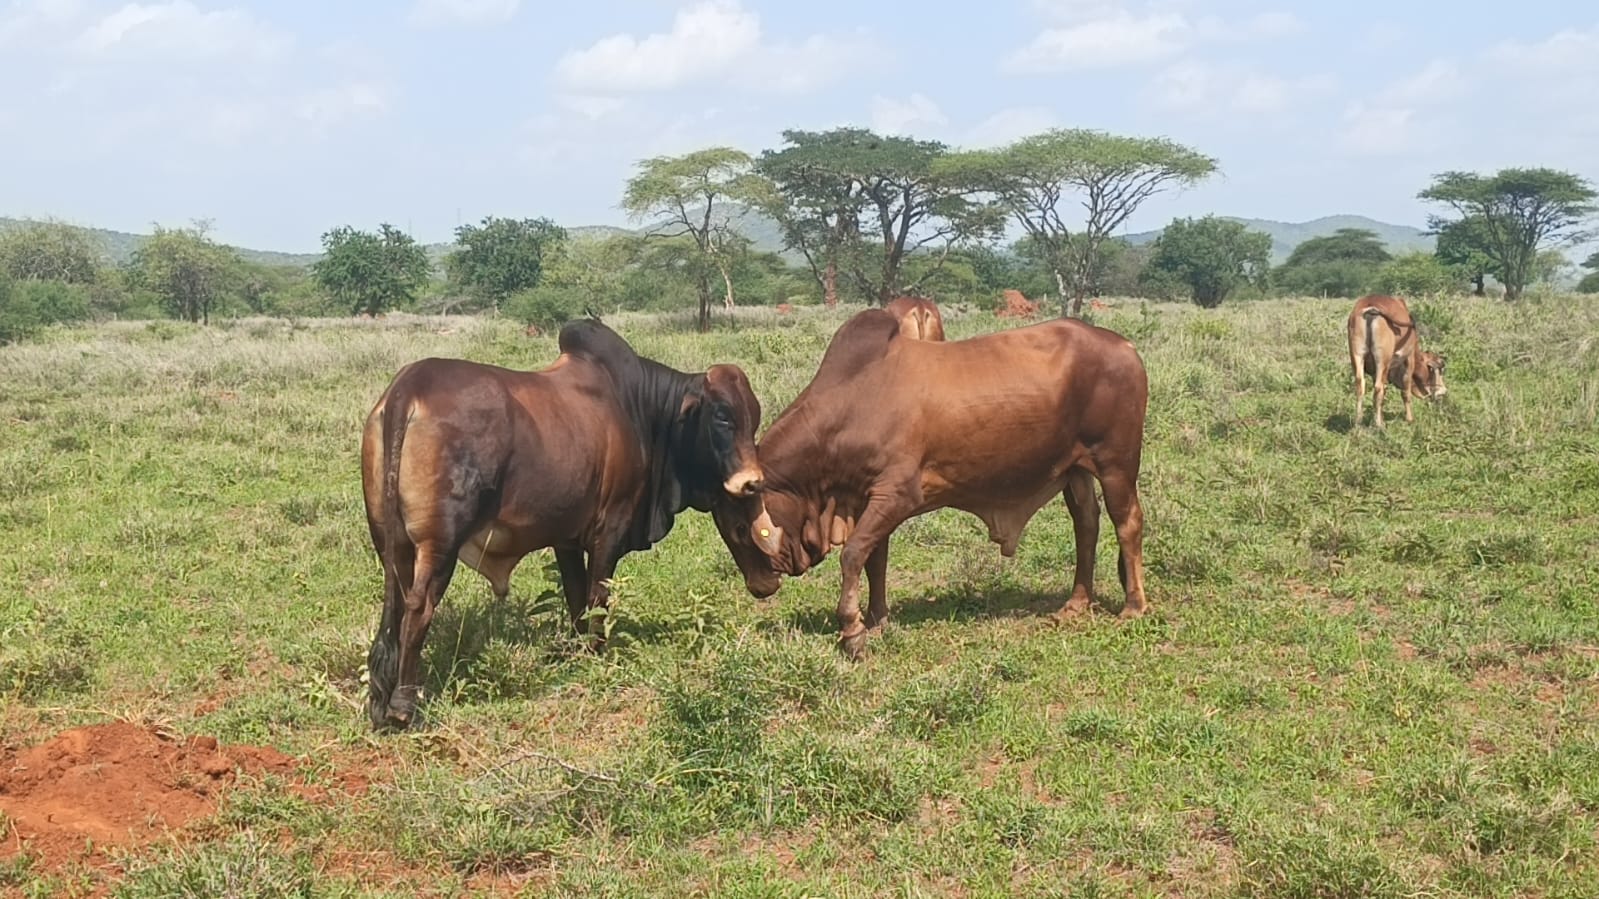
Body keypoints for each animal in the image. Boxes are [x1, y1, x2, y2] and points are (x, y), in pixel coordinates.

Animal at [360, 320, 764, 729]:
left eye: (755, 417)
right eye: (722, 415)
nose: (753, 481)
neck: (640, 409)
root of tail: (408, 387)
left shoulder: (566, 539)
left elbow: (575, 597)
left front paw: (579, 651)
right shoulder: (610, 529)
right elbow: (597, 597)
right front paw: (597, 654)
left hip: (391, 540)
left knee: (395, 602)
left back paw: (380, 701)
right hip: (441, 541)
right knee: (419, 606)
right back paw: (404, 705)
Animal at [709, 308, 1149, 660]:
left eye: (738, 528)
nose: (760, 588)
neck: (853, 402)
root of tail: (1125, 345)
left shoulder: (897, 494)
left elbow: (852, 555)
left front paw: (852, 631)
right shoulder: (868, 498)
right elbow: (875, 560)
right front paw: (877, 618)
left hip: (1115, 464)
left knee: (1127, 523)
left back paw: (1133, 606)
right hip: (1075, 470)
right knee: (1086, 523)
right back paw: (1076, 603)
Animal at [1346, 294, 1447, 427]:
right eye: (1440, 369)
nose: (1443, 391)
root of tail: (1370, 305)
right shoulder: (1408, 358)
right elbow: (1405, 392)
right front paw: (1409, 419)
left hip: (1357, 355)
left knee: (1360, 385)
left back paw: (1358, 421)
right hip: (1382, 360)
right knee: (1378, 388)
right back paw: (1379, 426)